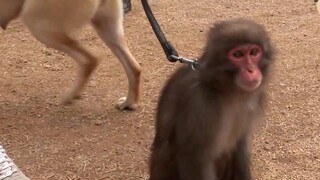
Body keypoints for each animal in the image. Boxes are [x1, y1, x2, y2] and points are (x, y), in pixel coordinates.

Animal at [0, 0, 141, 109]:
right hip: (107, 27)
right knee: (134, 67)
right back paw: (128, 103)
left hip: (40, 26)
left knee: (90, 59)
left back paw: (70, 96)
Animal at [149, 18, 274, 180]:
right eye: (238, 54)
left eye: (254, 52)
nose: (251, 70)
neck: (226, 91)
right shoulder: (200, 104)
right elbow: (194, 159)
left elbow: (240, 145)